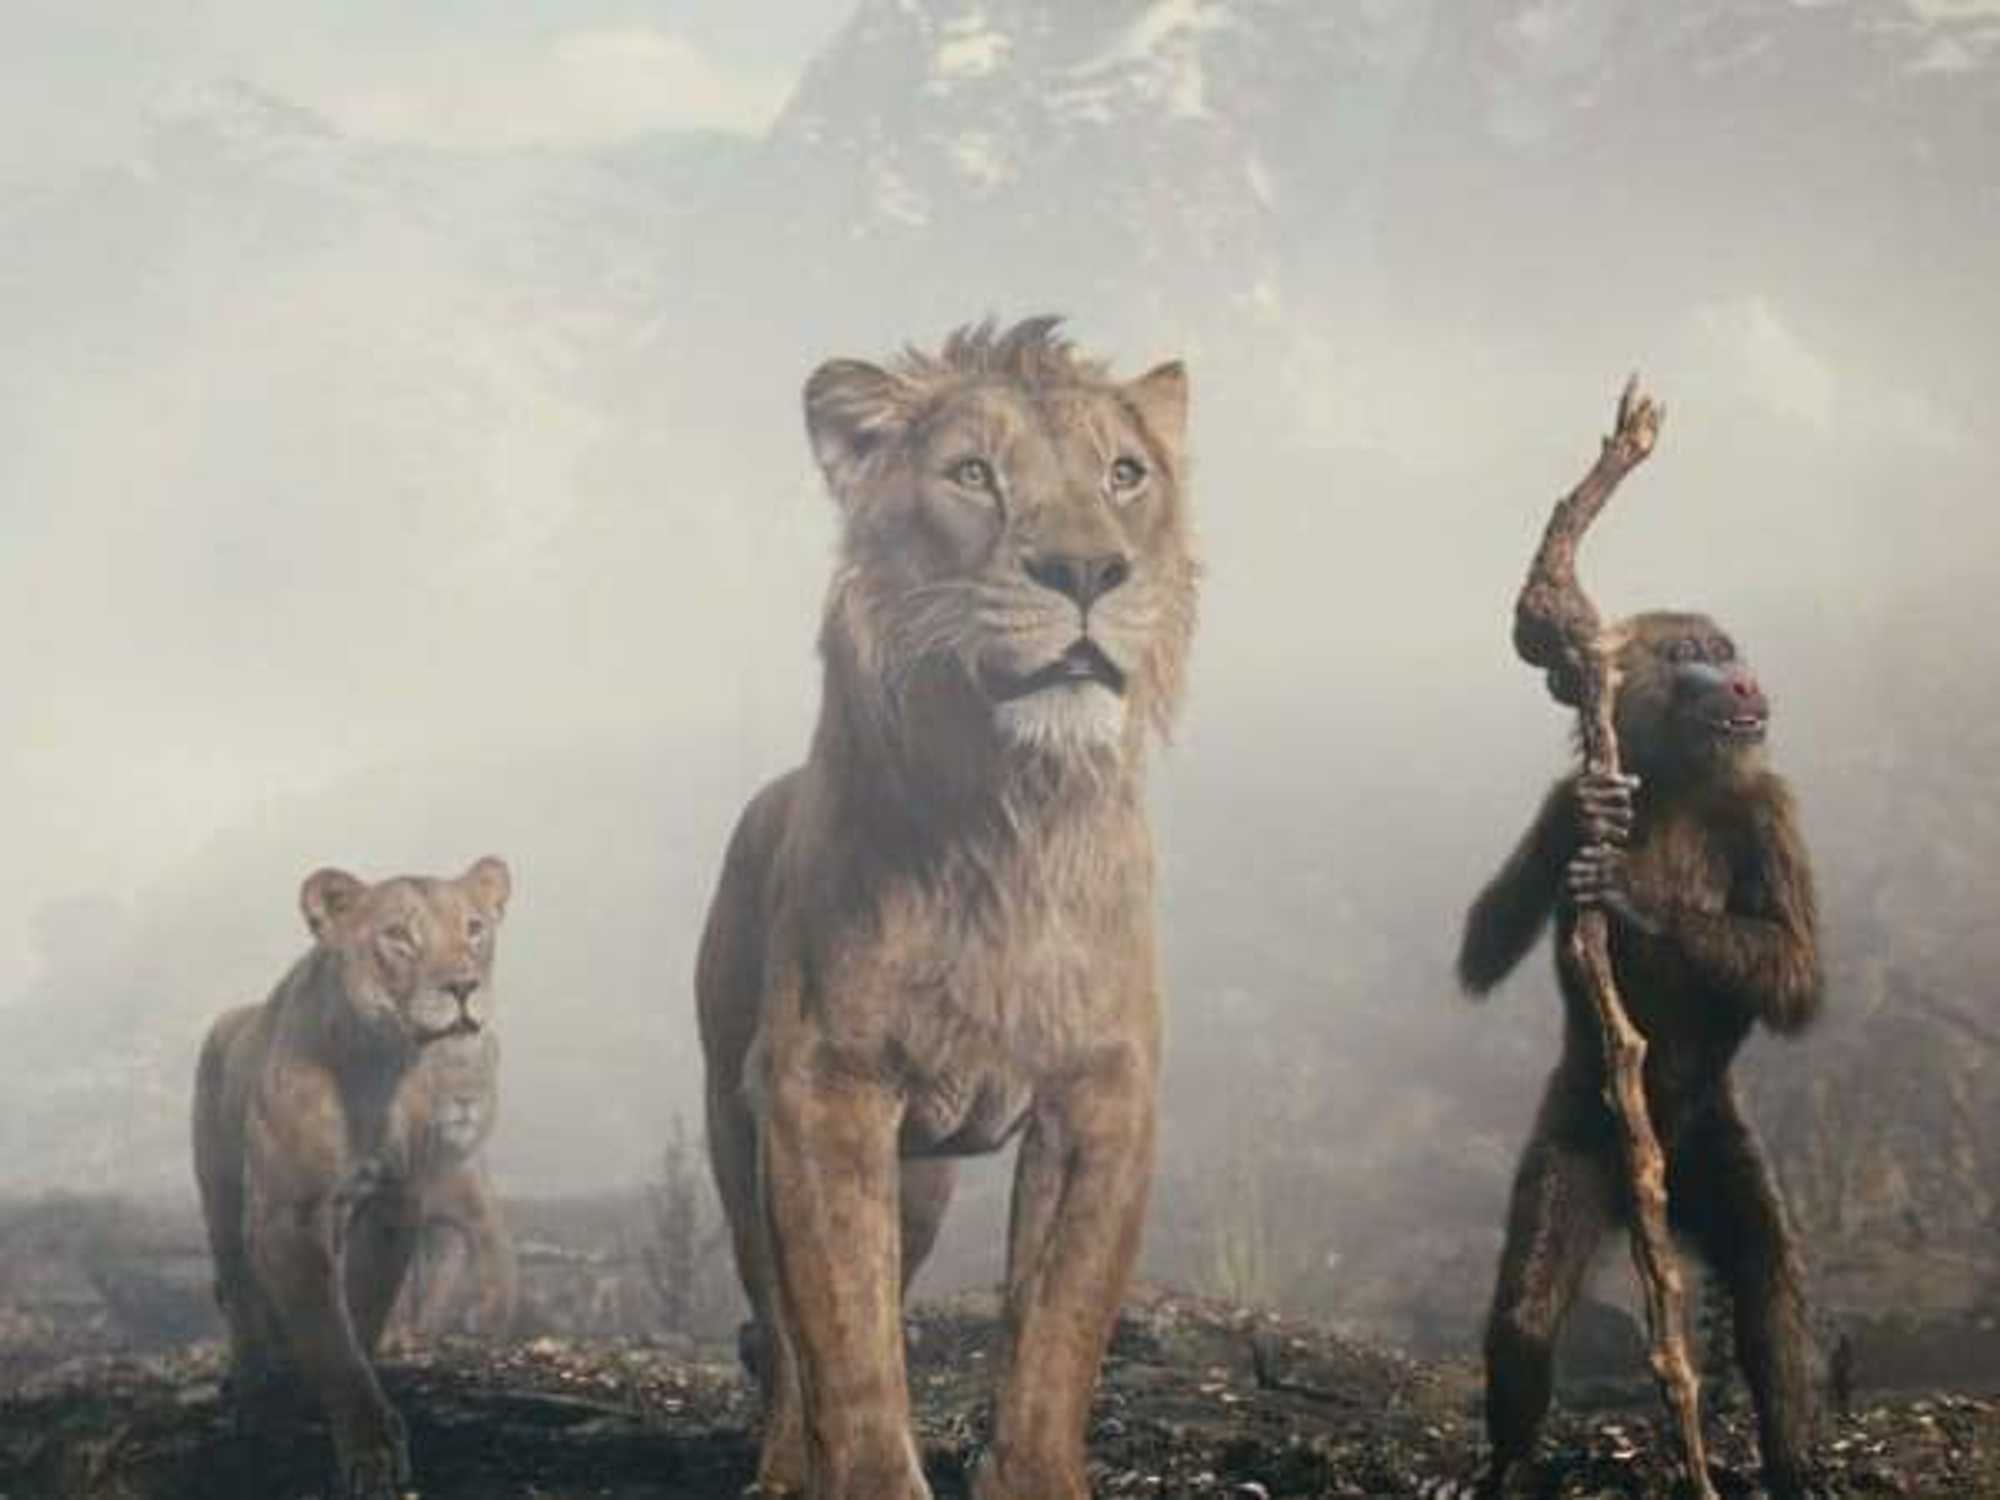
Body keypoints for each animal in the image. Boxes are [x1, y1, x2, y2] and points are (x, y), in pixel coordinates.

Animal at [192, 856, 514, 1500]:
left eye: (473, 928)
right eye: (399, 935)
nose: (463, 987)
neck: (376, 1068)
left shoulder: (394, 1204)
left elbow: (359, 1312)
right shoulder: (286, 1217)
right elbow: (328, 1333)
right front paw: (371, 1451)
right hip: (222, 1199)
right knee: (238, 1293)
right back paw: (255, 1396)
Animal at [696, 316, 1196, 1500]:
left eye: (1125, 474)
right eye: (972, 474)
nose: (1085, 569)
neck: (1011, 818)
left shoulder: (1102, 1097)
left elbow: (1057, 1330)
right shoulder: (821, 1089)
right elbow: (846, 1341)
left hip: (918, 1180)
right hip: (737, 1124)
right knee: (780, 1326)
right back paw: (781, 1467)